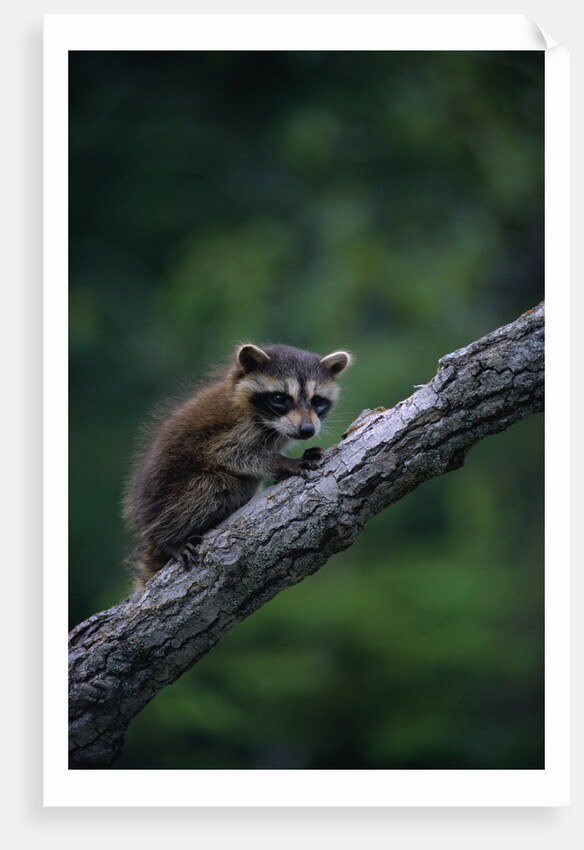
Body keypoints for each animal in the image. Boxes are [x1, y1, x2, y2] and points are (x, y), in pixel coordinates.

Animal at [123, 343, 351, 588]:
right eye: (280, 397)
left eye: (316, 400)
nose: (307, 430)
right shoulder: (230, 429)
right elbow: (232, 454)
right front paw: (285, 463)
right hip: (176, 489)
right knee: (210, 488)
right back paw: (168, 538)